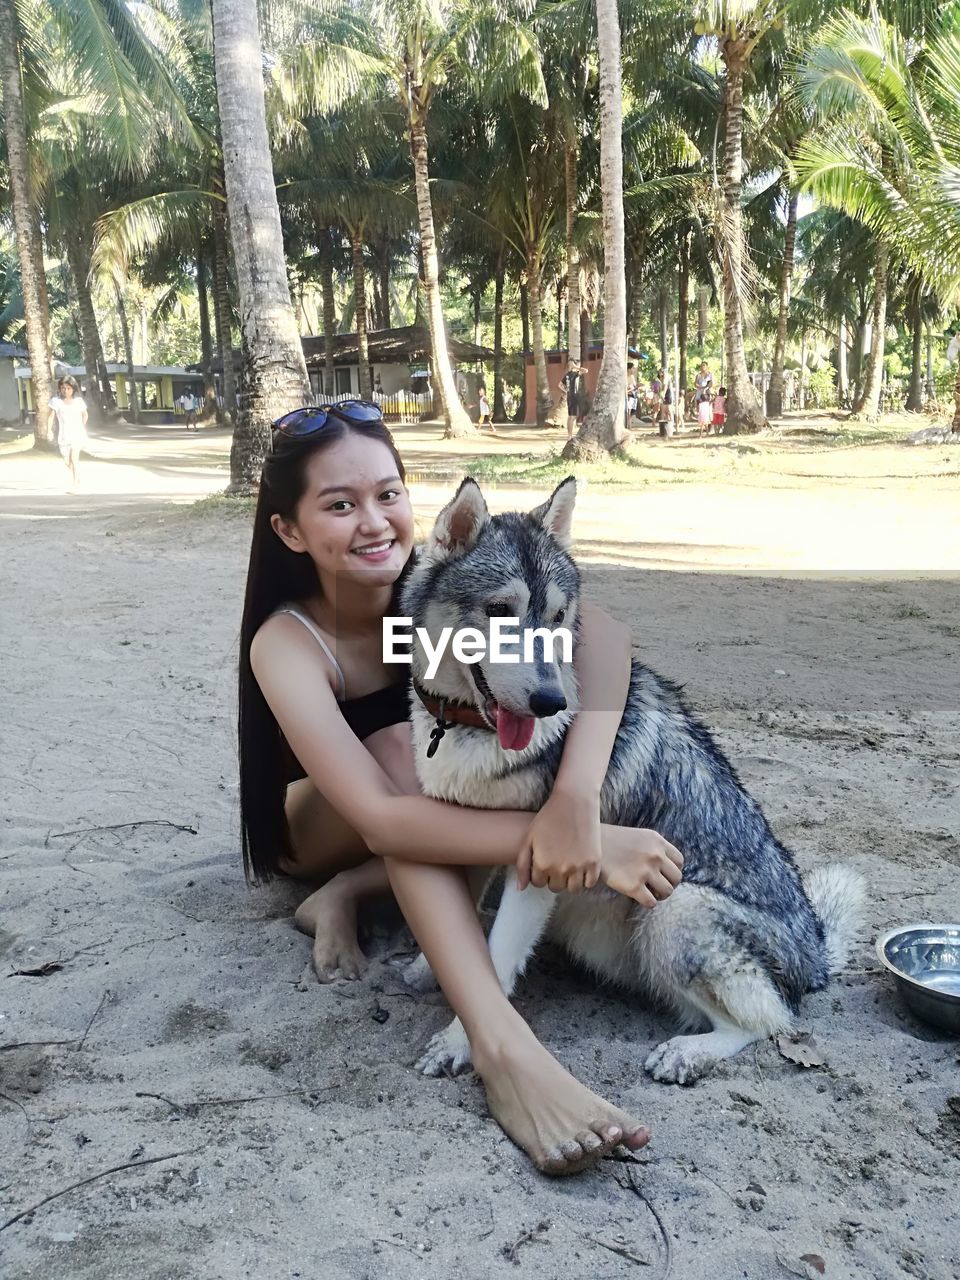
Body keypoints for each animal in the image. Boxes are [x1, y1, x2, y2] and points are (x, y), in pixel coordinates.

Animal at [401, 478, 870, 1080]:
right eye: (500, 611)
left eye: (558, 615)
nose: (552, 702)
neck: (462, 727)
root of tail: (815, 952)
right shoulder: (466, 829)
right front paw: (427, 967)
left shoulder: (541, 868)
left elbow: (497, 960)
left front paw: (460, 1040)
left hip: (675, 910)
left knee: (771, 1022)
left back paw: (688, 1053)